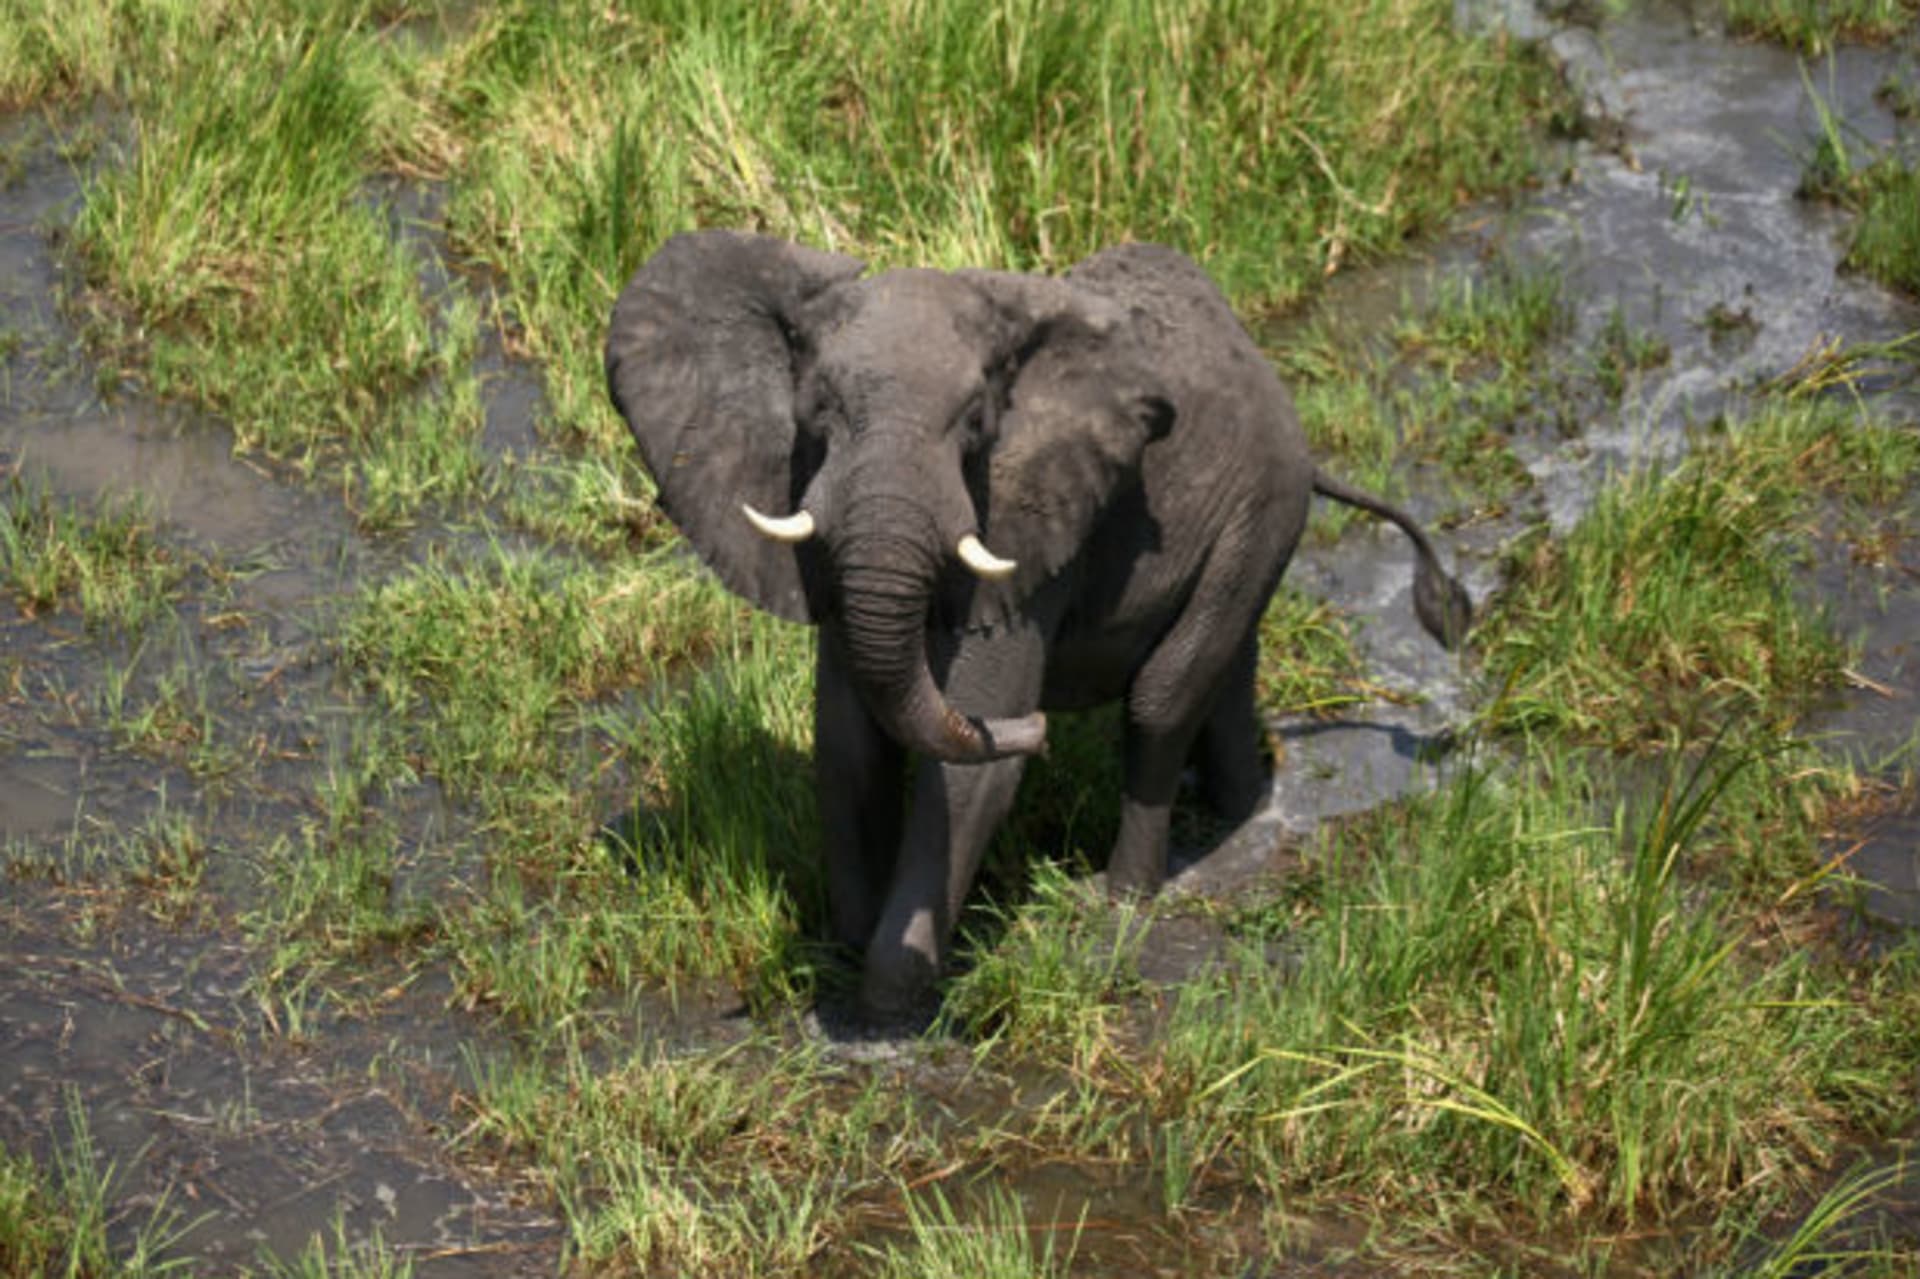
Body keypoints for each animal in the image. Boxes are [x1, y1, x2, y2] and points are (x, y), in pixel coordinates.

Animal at [605, 230, 1470, 1015]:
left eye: (975, 424)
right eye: (819, 411)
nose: (1041, 730)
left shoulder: (1023, 527)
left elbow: (968, 763)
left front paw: (893, 996)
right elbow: (849, 741)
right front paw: (846, 951)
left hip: (1263, 506)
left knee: (1162, 696)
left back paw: (1121, 898)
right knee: (1223, 669)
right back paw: (1237, 809)